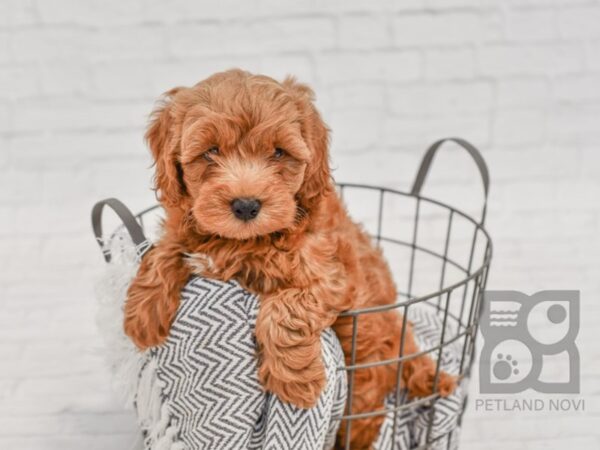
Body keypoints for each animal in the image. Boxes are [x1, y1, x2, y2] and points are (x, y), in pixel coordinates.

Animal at [126, 70, 454, 450]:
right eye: (211, 151)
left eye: (279, 153)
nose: (246, 205)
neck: (245, 243)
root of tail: (406, 341)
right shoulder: (189, 229)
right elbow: (165, 249)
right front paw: (142, 314)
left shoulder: (331, 277)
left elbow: (285, 307)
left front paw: (296, 382)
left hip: (364, 385)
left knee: (365, 420)